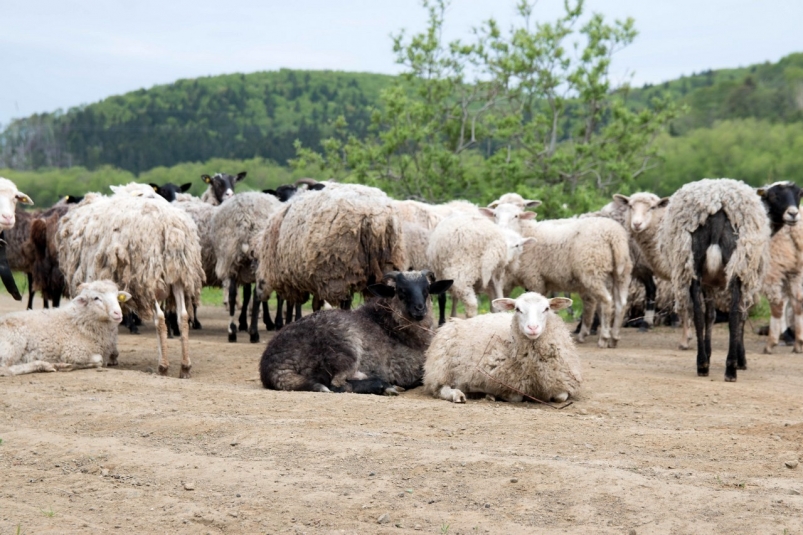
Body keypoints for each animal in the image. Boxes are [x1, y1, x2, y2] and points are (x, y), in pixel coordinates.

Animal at [0, 280, 131, 376]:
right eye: (96, 298)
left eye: (117, 296)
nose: (118, 313)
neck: (79, 322)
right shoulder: (73, 351)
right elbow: (98, 360)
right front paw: (67, 365)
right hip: (13, 345)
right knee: (5, 369)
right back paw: (44, 365)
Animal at [57, 184, 204, 378]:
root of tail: (171, 227)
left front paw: (111, 355)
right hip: (179, 275)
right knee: (183, 316)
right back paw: (185, 366)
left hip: (148, 275)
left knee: (160, 318)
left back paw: (163, 366)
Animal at [259, 270, 453, 394]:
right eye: (400, 291)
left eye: (427, 290)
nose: (419, 309)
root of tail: (273, 365)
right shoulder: (408, 368)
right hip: (345, 347)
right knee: (336, 384)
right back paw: (383, 385)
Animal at [423, 292, 582, 404]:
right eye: (517, 309)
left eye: (546, 309)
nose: (533, 328)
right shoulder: (505, 383)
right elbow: (516, 397)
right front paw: (493, 394)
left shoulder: (562, 382)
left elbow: (561, 397)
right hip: (441, 366)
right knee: (440, 388)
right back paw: (458, 394)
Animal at [656, 179, 797, 381]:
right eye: (775, 196)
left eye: (798, 194)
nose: (794, 214)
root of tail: (717, 207)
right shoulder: (747, 278)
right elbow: (742, 316)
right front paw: (741, 360)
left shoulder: (708, 282)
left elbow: (710, 316)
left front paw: (708, 354)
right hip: (736, 264)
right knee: (734, 314)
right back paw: (731, 368)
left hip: (693, 265)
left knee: (698, 314)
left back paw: (702, 364)